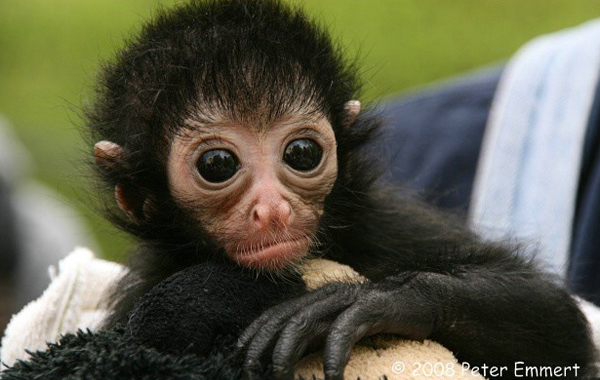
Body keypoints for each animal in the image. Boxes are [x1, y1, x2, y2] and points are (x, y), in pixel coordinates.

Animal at [90, 0, 596, 378]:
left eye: (302, 153)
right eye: (217, 165)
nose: (273, 210)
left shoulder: (380, 220)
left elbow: (565, 328)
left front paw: (364, 301)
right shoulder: (143, 288)